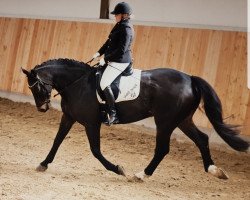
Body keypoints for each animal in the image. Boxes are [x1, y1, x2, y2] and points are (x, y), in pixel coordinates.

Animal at [22, 58, 250, 181]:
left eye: (37, 87)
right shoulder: (69, 117)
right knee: (202, 139)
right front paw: (43, 164)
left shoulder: (91, 123)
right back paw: (214, 170)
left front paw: (117, 169)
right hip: (183, 120)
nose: (42, 108)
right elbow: (57, 141)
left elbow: (95, 150)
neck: (77, 83)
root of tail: (190, 79)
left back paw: (141, 175)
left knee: (162, 149)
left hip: (165, 121)